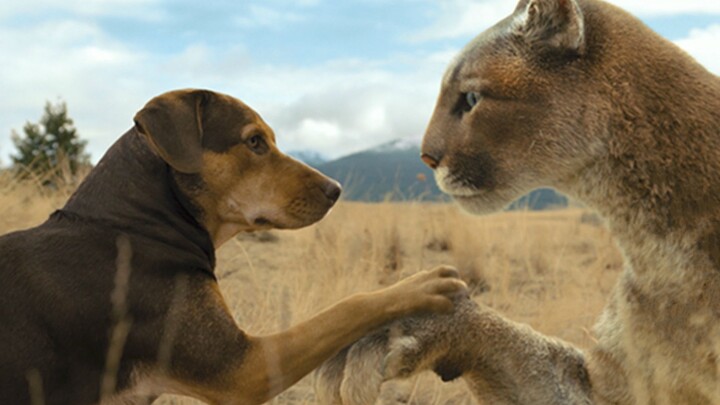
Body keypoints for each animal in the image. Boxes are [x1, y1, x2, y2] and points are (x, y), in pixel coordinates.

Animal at [0, 89, 466, 404]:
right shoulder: (243, 369)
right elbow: (349, 307)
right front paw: (424, 285)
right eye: (254, 141)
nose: (336, 190)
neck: (134, 223)